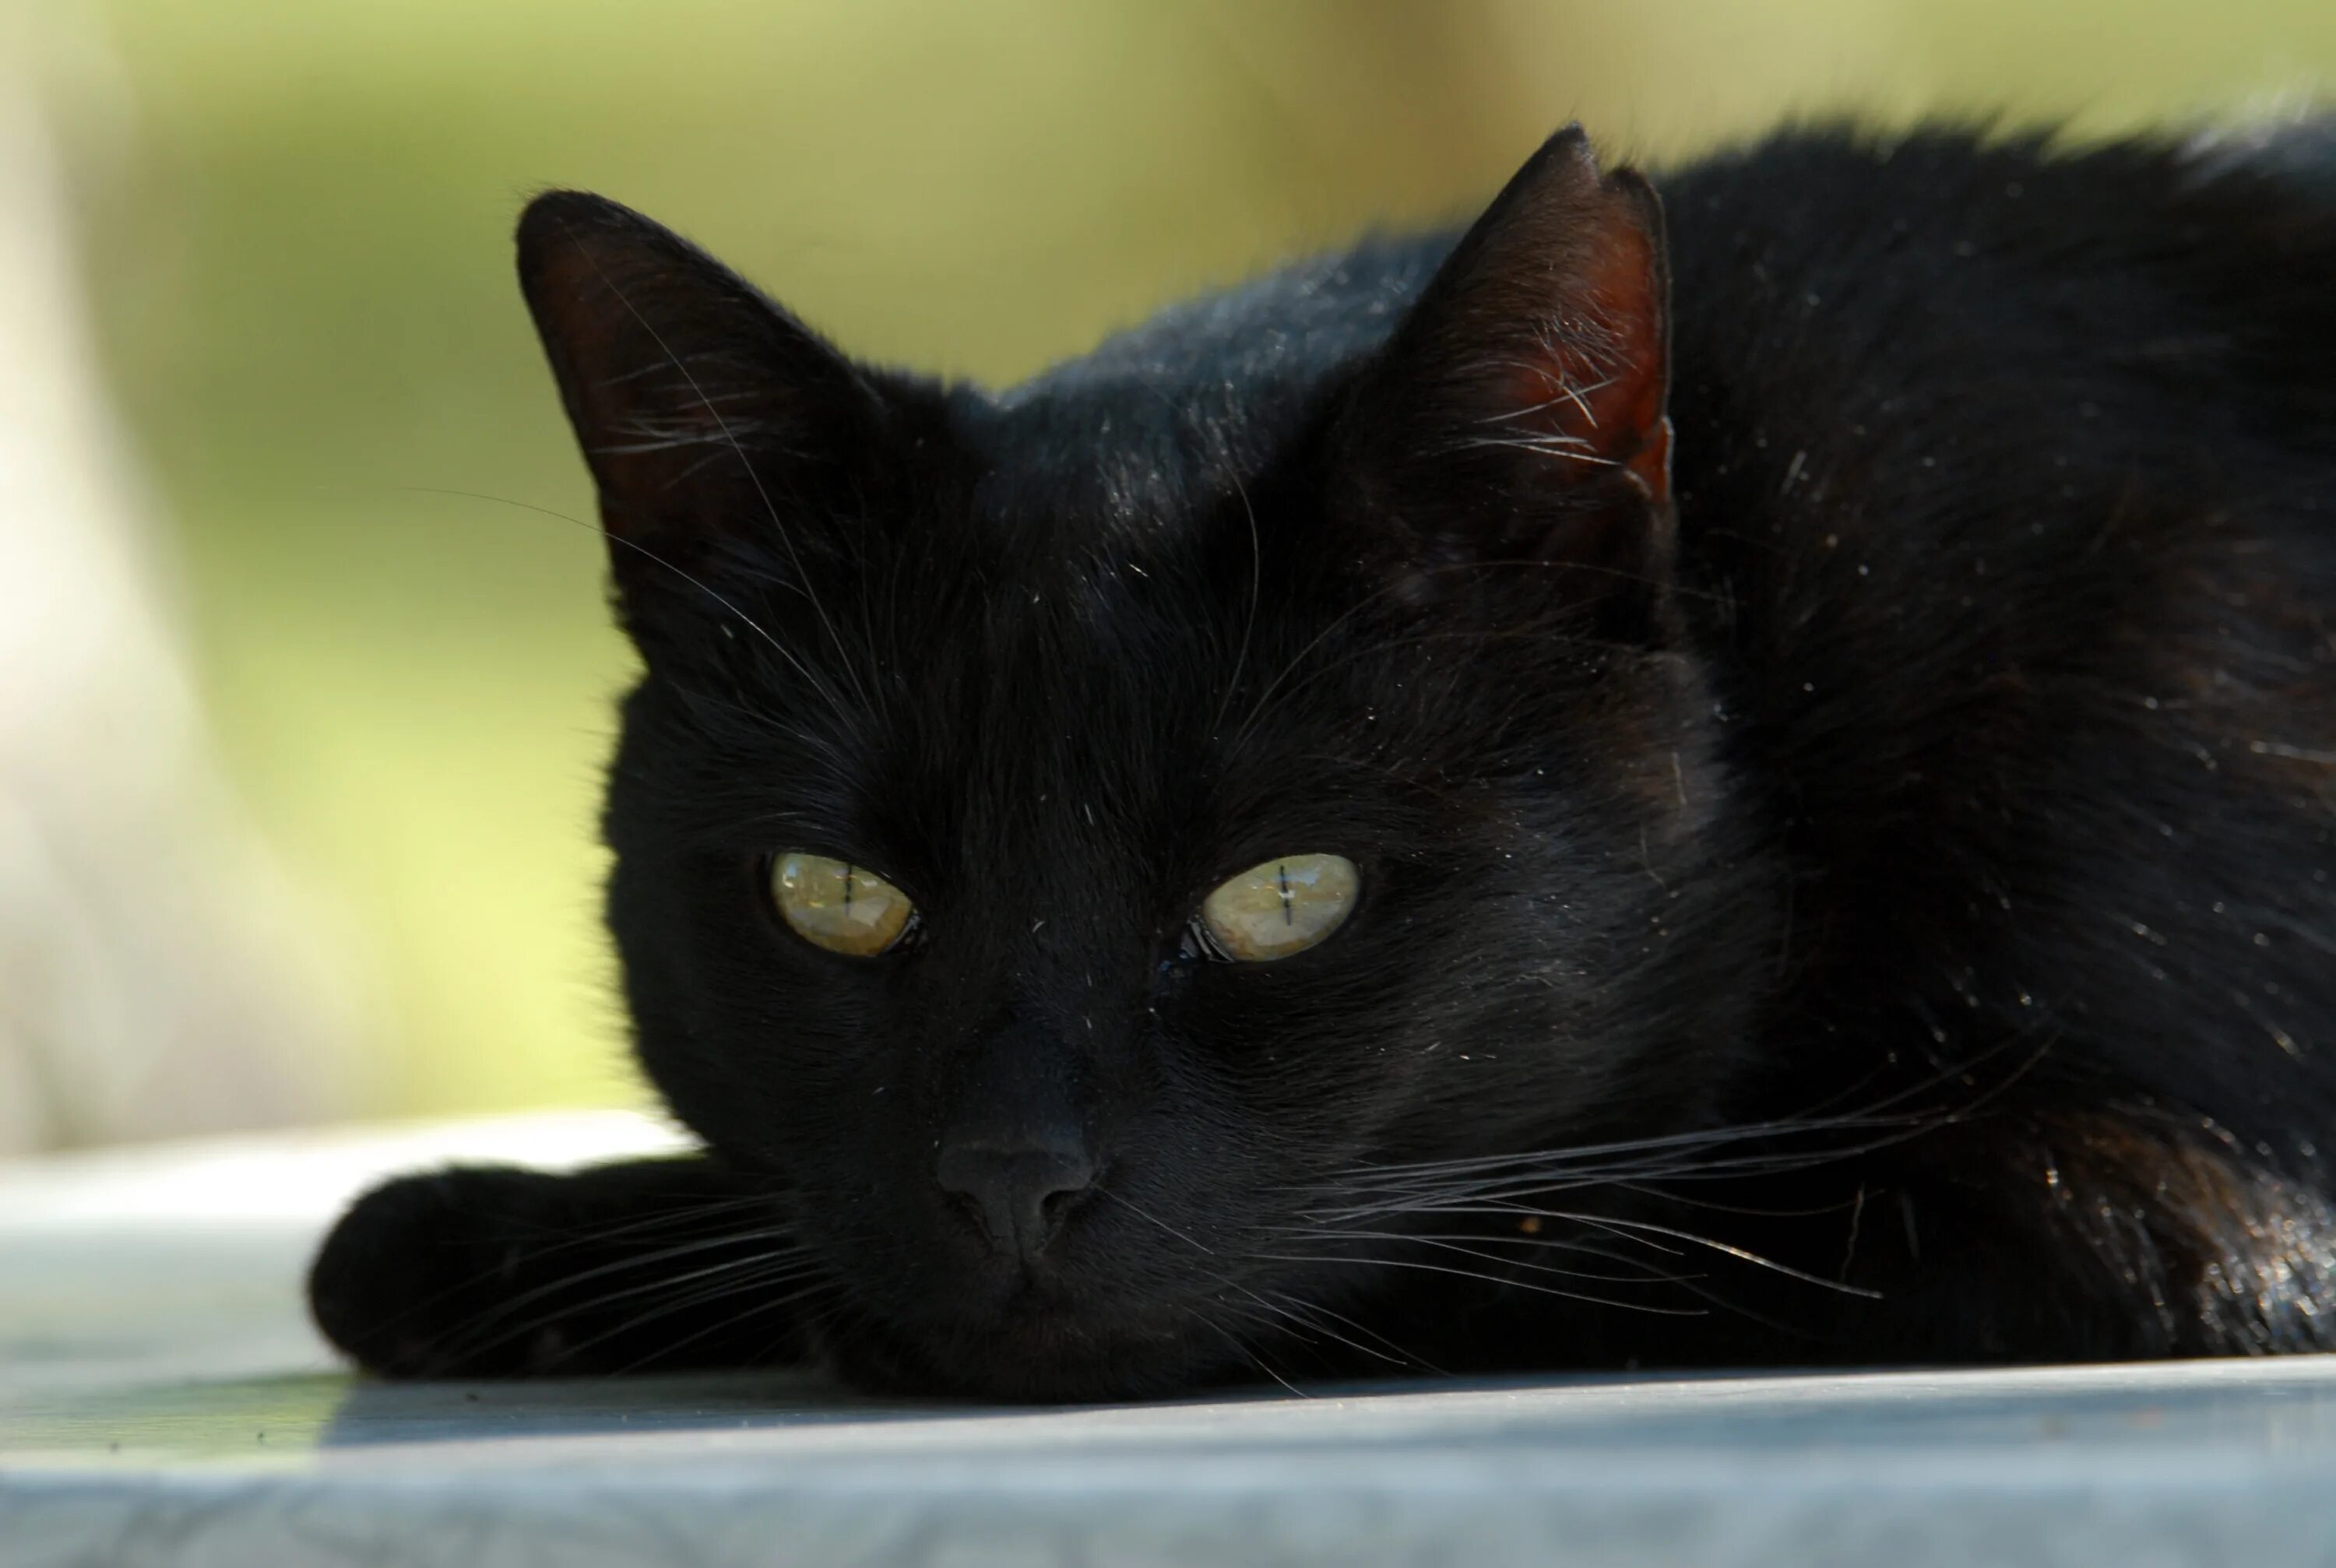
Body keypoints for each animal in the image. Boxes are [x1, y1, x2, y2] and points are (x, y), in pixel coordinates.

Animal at [306, 119, 2336, 1401]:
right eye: (834, 898)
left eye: (1288, 894)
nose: (1011, 1176)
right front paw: (502, 1235)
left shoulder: (2174, 1204)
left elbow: (1565, 1209)